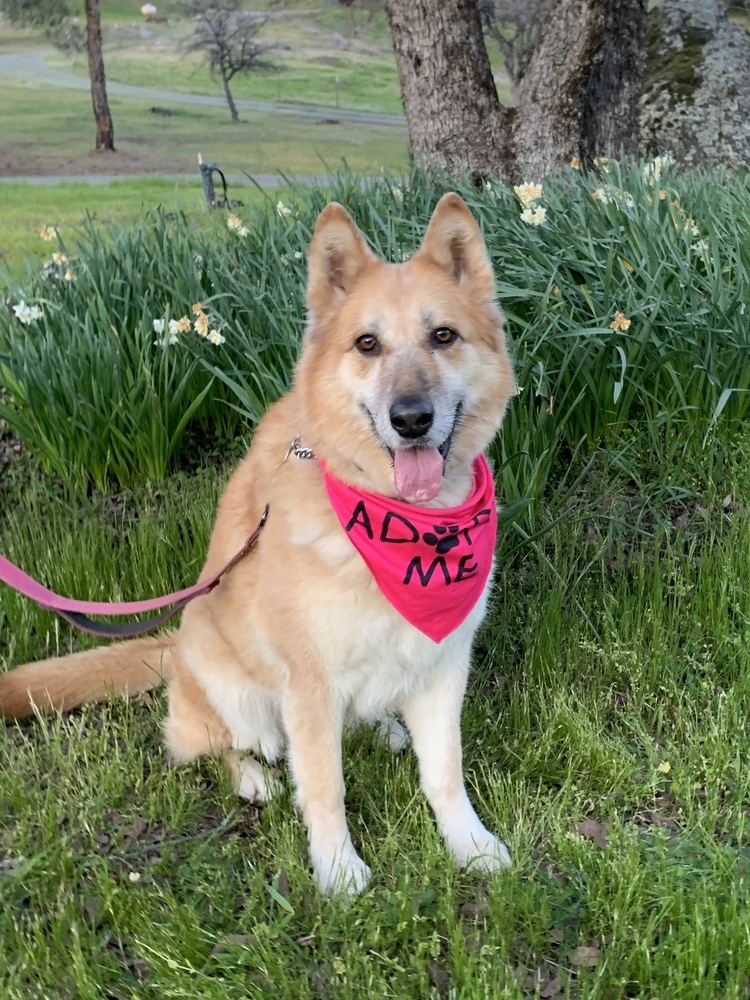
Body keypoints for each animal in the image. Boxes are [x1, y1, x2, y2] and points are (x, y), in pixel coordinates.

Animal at [0, 191, 516, 896]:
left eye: (444, 336)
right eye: (368, 343)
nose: (412, 420)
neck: (401, 527)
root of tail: (174, 645)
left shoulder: (442, 666)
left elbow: (444, 772)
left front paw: (470, 844)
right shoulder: (310, 683)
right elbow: (324, 786)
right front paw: (338, 871)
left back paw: (385, 727)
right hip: (230, 687)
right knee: (210, 746)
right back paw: (253, 776)